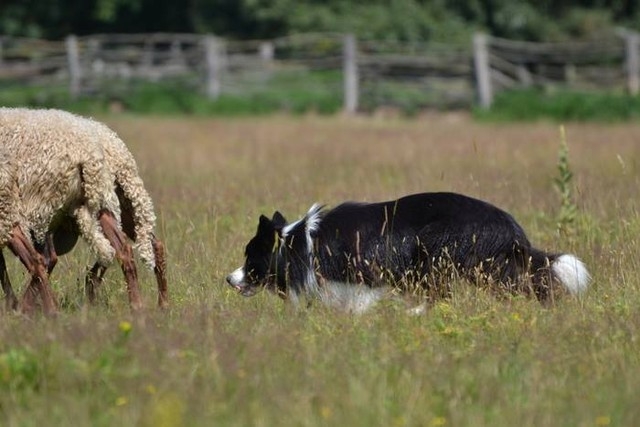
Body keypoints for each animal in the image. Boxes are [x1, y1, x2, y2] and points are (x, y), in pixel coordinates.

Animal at [226, 192, 590, 313]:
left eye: (250, 257)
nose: (229, 279)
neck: (300, 244)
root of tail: (511, 227)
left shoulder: (367, 275)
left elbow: (358, 306)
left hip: (440, 253)